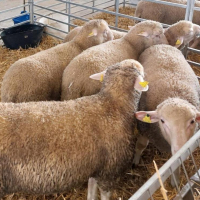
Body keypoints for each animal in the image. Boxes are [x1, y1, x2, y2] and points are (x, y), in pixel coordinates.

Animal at [0, 59, 148, 200]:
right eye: (136, 69)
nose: (135, 61)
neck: (112, 104)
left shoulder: (95, 170)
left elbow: (91, 192)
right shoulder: (109, 172)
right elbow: (105, 195)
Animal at [133, 43, 200, 186]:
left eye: (192, 121)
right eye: (162, 121)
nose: (179, 149)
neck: (173, 94)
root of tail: (161, 44)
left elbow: (174, 163)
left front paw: (175, 181)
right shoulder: (144, 129)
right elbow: (141, 146)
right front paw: (135, 161)